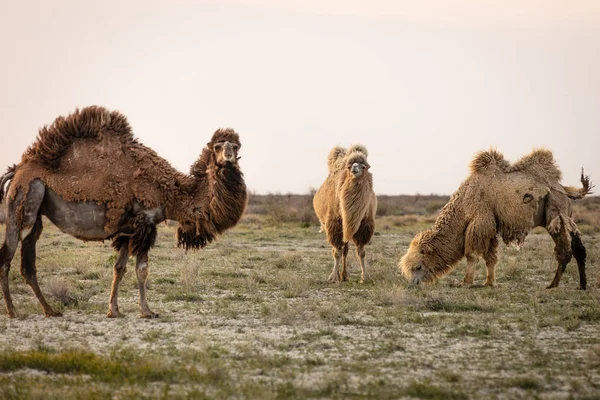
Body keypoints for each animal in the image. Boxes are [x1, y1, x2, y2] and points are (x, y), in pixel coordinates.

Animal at [312, 145, 378, 282]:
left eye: (364, 166)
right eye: (349, 166)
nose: (354, 168)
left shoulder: (364, 225)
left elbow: (361, 252)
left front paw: (365, 277)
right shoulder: (334, 224)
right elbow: (337, 251)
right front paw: (333, 277)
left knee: (345, 249)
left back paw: (344, 275)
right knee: (339, 249)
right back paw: (340, 275)